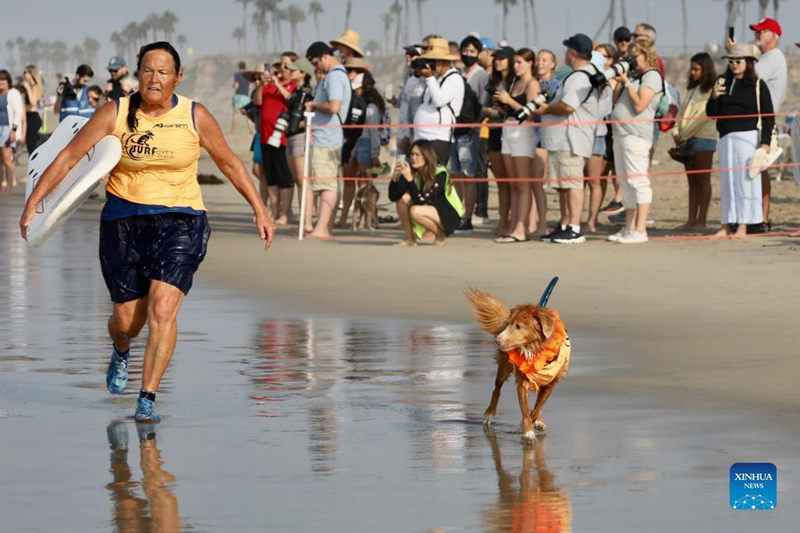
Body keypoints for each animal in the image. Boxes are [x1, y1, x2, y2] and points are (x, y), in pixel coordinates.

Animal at [466, 288, 572, 442]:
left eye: (518, 326)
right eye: (509, 324)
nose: (498, 340)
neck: (536, 349)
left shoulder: (551, 384)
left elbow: (537, 406)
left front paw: (530, 424)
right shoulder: (522, 381)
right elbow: (525, 409)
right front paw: (527, 431)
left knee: (537, 403)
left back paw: (538, 421)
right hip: (504, 367)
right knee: (497, 389)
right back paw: (489, 414)